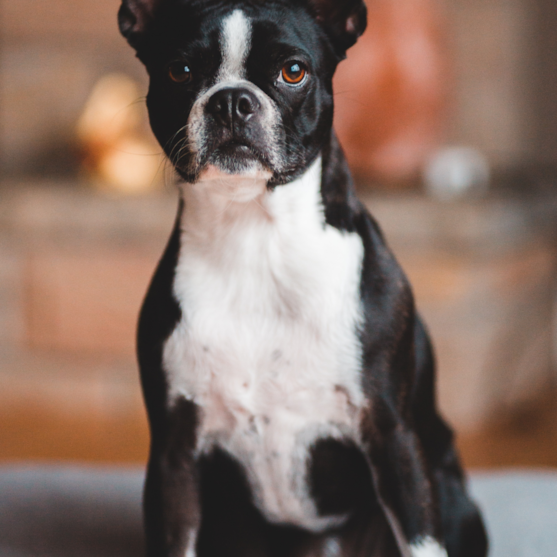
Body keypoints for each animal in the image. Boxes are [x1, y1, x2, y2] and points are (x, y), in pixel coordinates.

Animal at [118, 1, 486, 556]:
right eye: (179, 71)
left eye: (293, 71)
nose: (231, 101)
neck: (256, 238)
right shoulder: (173, 457)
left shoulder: (394, 439)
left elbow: (421, 541)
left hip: (451, 496)